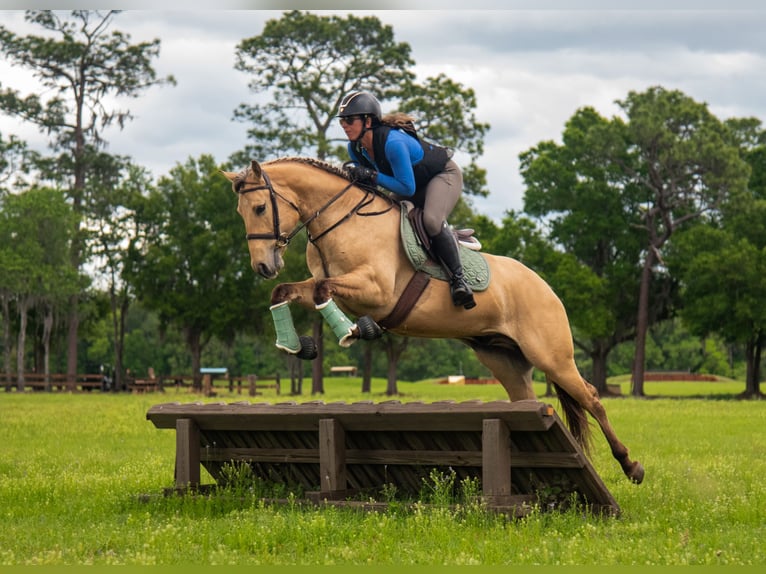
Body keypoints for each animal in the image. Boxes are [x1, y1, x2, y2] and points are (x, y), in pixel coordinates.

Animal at [222, 157, 644, 484]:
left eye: (259, 209)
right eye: (240, 212)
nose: (263, 266)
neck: (341, 221)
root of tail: (545, 287)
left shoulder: (376, 290)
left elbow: (327, 289)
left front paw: (354, 332)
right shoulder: (324, 286)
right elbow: (287, 292)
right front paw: (297, 344)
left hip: (551, 356)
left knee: (591, 397)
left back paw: (630, 465)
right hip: (505, 360)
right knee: (529, 399)